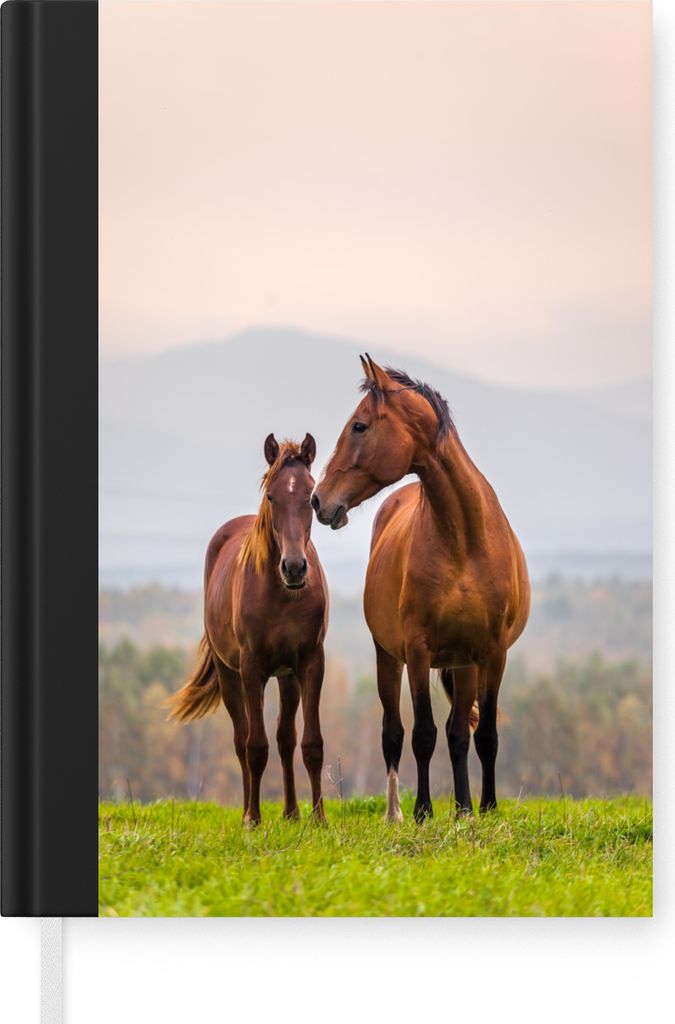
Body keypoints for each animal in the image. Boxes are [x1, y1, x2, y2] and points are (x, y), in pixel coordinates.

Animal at [167, 433, 329, 825]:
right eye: (271, 495)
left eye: (310, 496)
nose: (294, 568)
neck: (283, 595)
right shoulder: (252, 668)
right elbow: (255, 747)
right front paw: (253, 820)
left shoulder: (310, 664)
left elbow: (311, 743)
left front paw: (319, 819)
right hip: (230, 676)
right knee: (242, 741)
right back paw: (246, 812)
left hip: (287, 677)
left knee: (285, 739)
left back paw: (292, 813)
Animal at [312, 355, 529, 821]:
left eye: (359, 426)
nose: (319, 501)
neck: (464, 540)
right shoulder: (416, 650)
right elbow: (422, 733)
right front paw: (423, 812)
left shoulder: (492, 653)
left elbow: (483, 734)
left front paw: (484, 808)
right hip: (389, 658)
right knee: (393, 732)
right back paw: (395, 812)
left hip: (464, 664)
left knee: (458, 732)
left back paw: (464, 808)